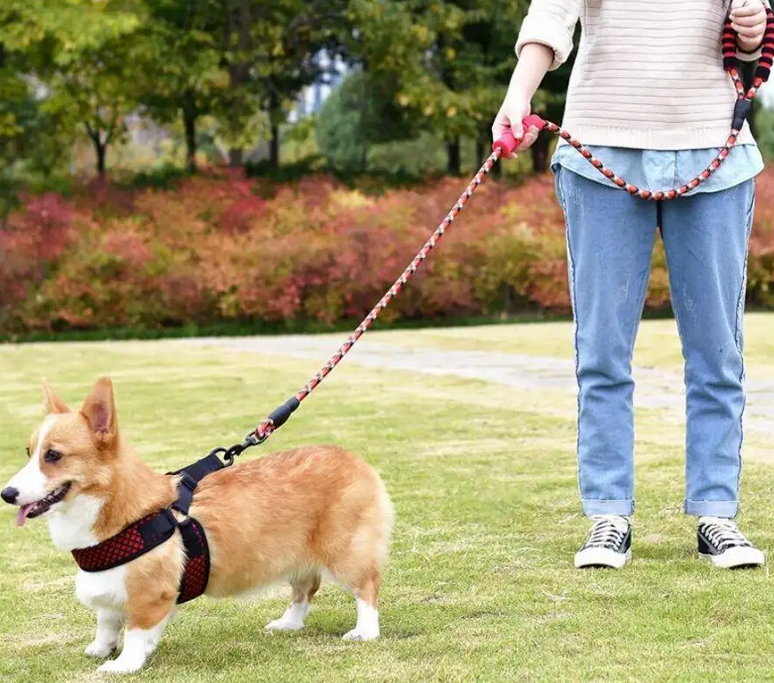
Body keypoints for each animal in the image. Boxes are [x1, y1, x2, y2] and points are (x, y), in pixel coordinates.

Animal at [3, 382, 394, 676]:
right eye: (29, 451)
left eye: (53, 455)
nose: (7, 494)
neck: (118, 510)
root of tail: (357, 461)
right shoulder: (110, 586)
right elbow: (107, 621)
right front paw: (101, 648)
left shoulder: (151, 595)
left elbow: (135, 632)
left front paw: (123, 664)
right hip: (296, 558)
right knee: (304, 590)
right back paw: (288, 624)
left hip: (346, 553)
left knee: (367, 589)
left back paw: (364, 632)